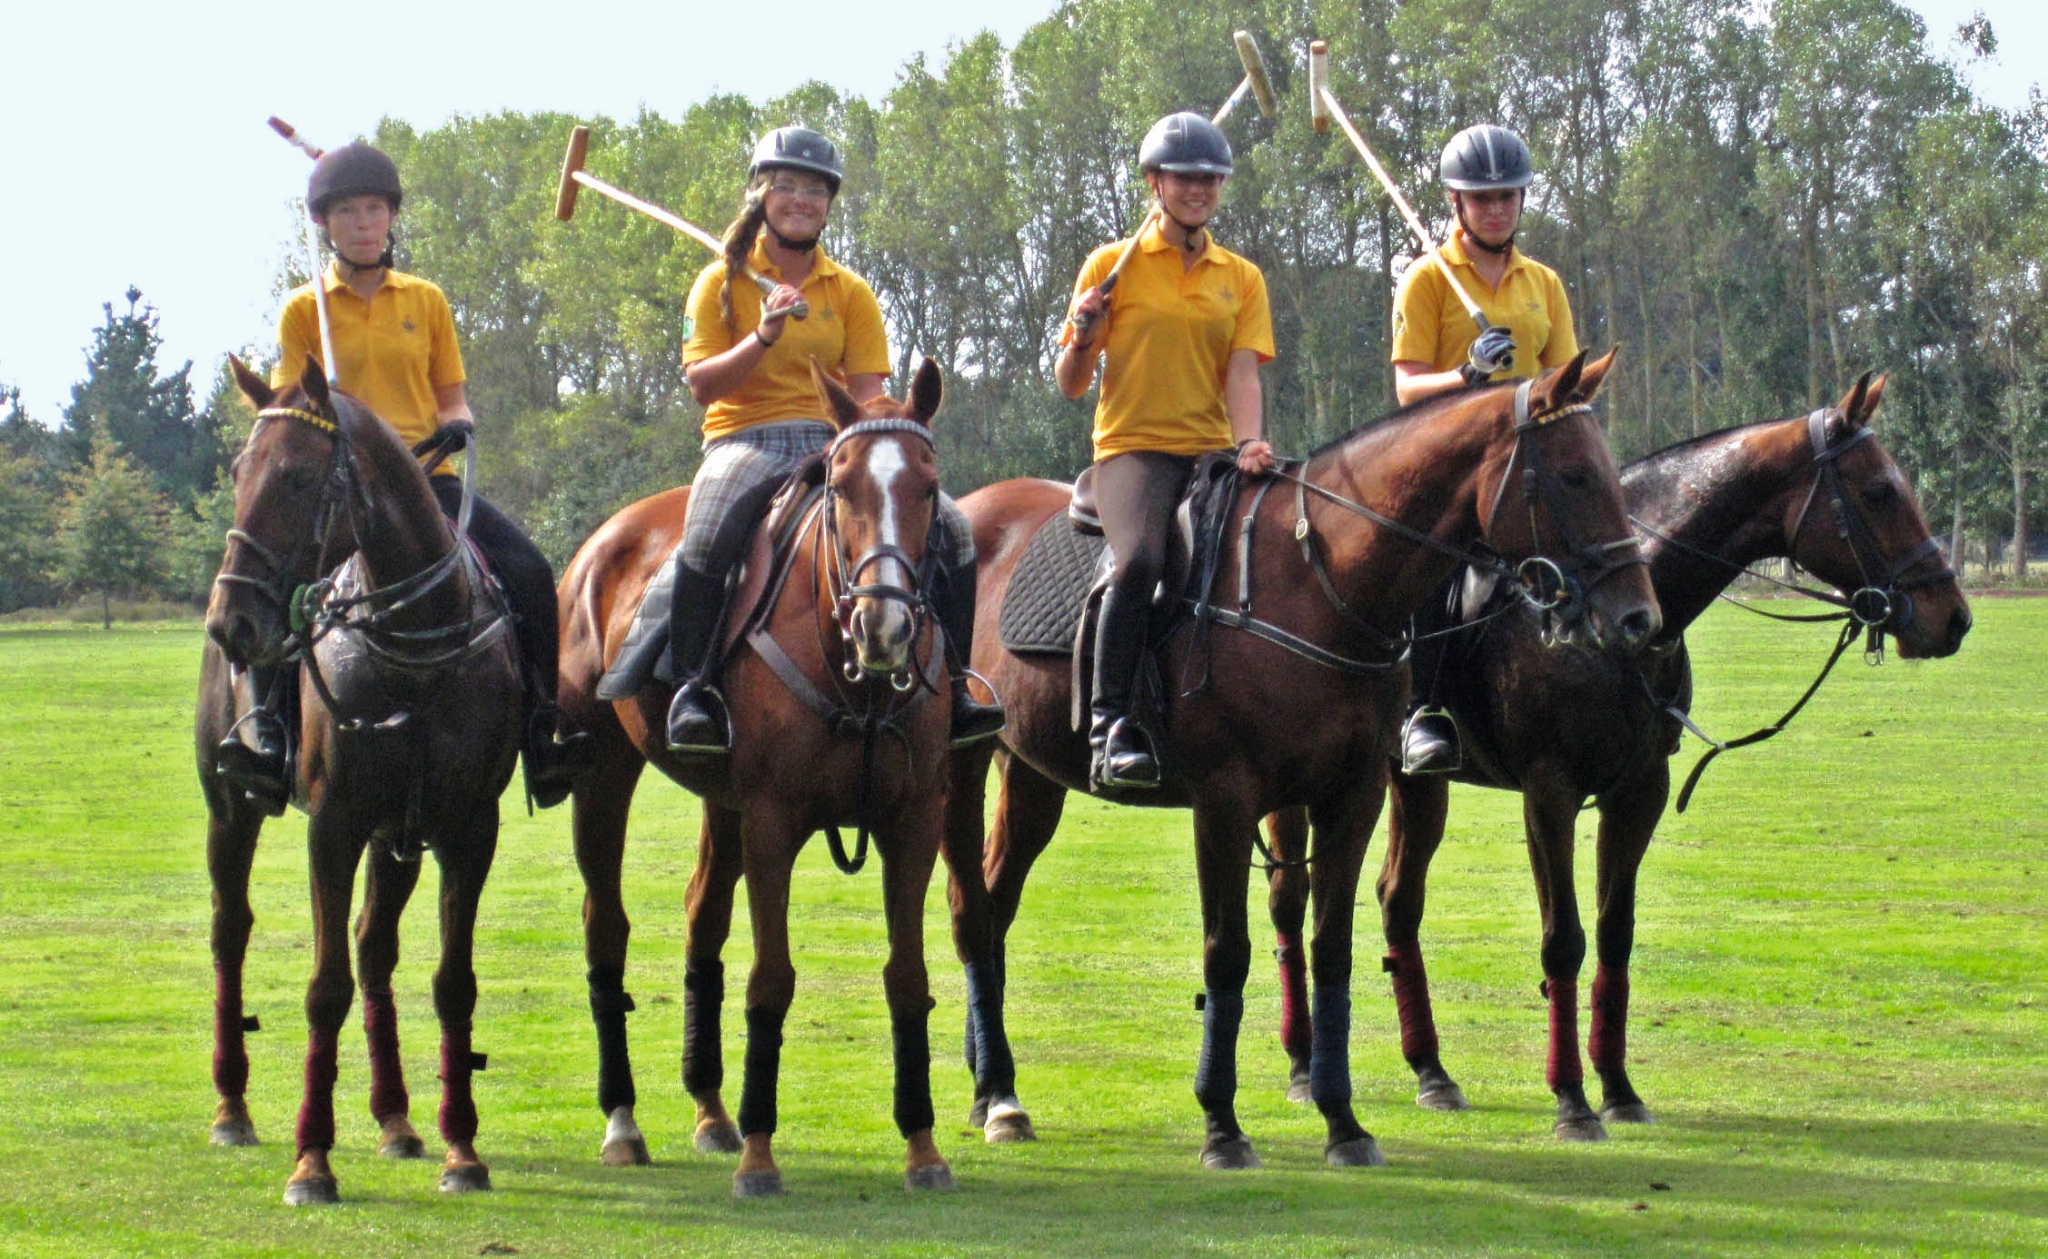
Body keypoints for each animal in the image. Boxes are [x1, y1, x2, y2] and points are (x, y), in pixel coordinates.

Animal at [196, 354, 524, 1203]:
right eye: (237, 471)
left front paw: (461, 1149)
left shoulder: (467, 828)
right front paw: (311, 1160)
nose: (229, 621)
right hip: (229, 809)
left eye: (298, 479)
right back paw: (232, 1106)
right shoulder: (333, 823)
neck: (414, 642)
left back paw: (398, 1119)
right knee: (230, 929)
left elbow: (451, 981)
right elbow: (324, 987)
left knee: (375, 946)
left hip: (397, 837)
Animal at [557, 360, 962, 1195]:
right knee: (605, 924)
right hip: (604, 774)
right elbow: (771, 978)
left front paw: (923, 1148)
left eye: (928, 485)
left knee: (701, 915)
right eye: (841, 485)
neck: (858, 681)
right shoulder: (775, 818)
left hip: (725, 803)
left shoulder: (914, 820)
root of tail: (596, 545)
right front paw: (760, 1156)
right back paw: (624, 1122)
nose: (886, 628)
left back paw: (713, 1110)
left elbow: (908, 976)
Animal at [937, 348, 1662, 1170]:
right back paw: (1000, 1097)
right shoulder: (1224, 800)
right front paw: (1222, 1125)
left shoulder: (1352, 795)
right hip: (962, 763)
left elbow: (1331, 948)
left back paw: (989, 1084)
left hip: (1031, 771)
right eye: (1574, 476)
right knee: (970, 911)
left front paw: (1342, 1120)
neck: (1322, 583)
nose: (1639, 618)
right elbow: (1227, 954)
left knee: (996, 903)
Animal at [1253, 372, 1974, 1146]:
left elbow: (1614, 934)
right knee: (1291, 896)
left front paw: (1619, 1088)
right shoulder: (1550, 792)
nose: (1954, 617)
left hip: (1419, 785)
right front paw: (1571, 1099)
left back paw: (1432, 1072)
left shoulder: (1640, 790)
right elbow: (1563, 939)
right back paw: (1303, 1065)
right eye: (1878, 491)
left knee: (1398, 897)